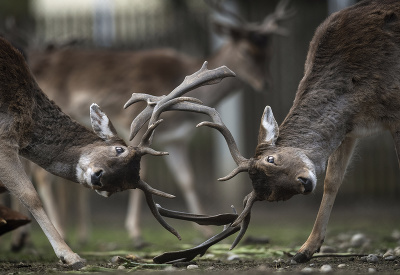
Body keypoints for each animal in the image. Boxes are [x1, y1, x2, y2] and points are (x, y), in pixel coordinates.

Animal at [25, 0, 294, 246]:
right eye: (246, 51)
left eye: (269, 52)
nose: (266, 83)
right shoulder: (133, 125)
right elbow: (141, 174)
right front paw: (136, 233)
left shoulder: (177, 139)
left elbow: (187, 179)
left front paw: (205, 230)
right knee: (41, 174)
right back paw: (59, 232)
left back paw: (74, 234)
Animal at [147, 0, 400, 266]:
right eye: (276, 196)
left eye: (271, 159)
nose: (305, 182)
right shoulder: (350, 130)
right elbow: (332, 181)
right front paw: (305, 250)